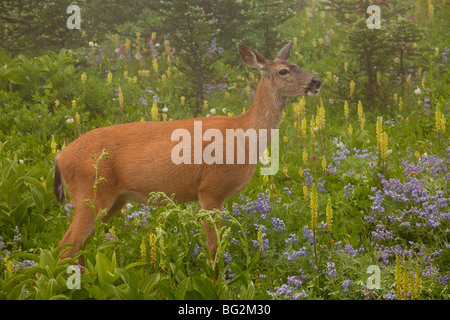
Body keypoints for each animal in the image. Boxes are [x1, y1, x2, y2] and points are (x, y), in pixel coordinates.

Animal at [53, 40, 320, 272]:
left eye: (297, 65)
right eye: (284, 71)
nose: (316, 80)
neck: (245, 135)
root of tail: (60, 157)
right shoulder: (211, 189)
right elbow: (214, 248)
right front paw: (216, 283)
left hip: (113, 199)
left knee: (80, 246)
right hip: (90, 191)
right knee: (65, 246)